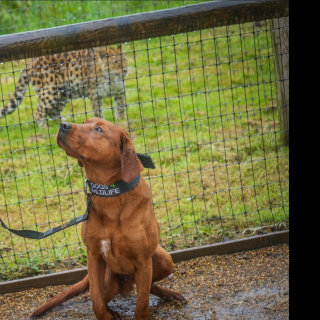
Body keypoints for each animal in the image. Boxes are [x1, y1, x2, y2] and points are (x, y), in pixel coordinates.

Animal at [30, 118, 185, 320]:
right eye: (83, 122)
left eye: (98, 129)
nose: (63, 124)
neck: (110, 194)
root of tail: (127, 284)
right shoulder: (94, 256)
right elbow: (96, 300)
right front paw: (106, 315)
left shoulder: (143, 261)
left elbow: (142, 305)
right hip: (107, 280)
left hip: (165, 260)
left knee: (148, 286)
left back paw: (168, 294)